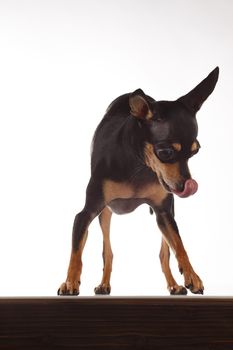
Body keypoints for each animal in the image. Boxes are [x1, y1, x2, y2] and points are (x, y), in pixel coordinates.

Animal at [57, 66, 218, 296]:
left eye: (195, 152)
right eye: (165, 152)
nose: (186, 185)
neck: (138, 165)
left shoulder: (164, 213)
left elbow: (179, 246)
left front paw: (191, 275)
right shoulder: (85, 214)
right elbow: (76, 252)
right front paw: (70, 282)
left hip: (165, 215)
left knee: (163, 254)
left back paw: (174, 285)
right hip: (105, 213)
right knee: (108, 252)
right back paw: (103, 284)